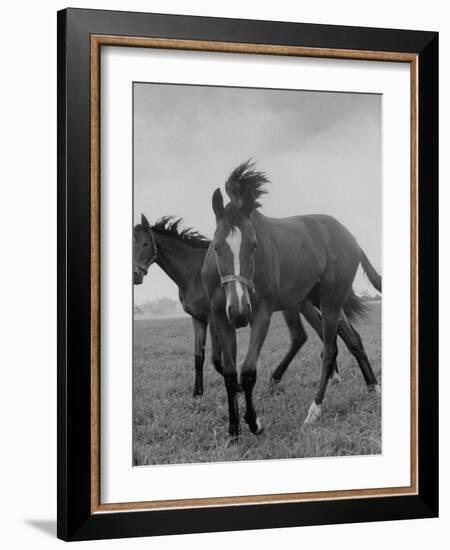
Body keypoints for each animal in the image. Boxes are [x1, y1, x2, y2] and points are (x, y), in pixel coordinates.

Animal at [202, 162, 382, 438]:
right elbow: (231, 373)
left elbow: (248, 371)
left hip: (330, 302)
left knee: (329, 350)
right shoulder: (221, 317)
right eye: (218, 247)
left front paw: (254, 423)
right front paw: (233, 429)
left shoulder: (262, 314)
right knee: (353, 339)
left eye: (254, 245)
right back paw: (374, 388)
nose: (240, 312)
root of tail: (351, 238)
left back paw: (314, 411)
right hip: (319, 301)